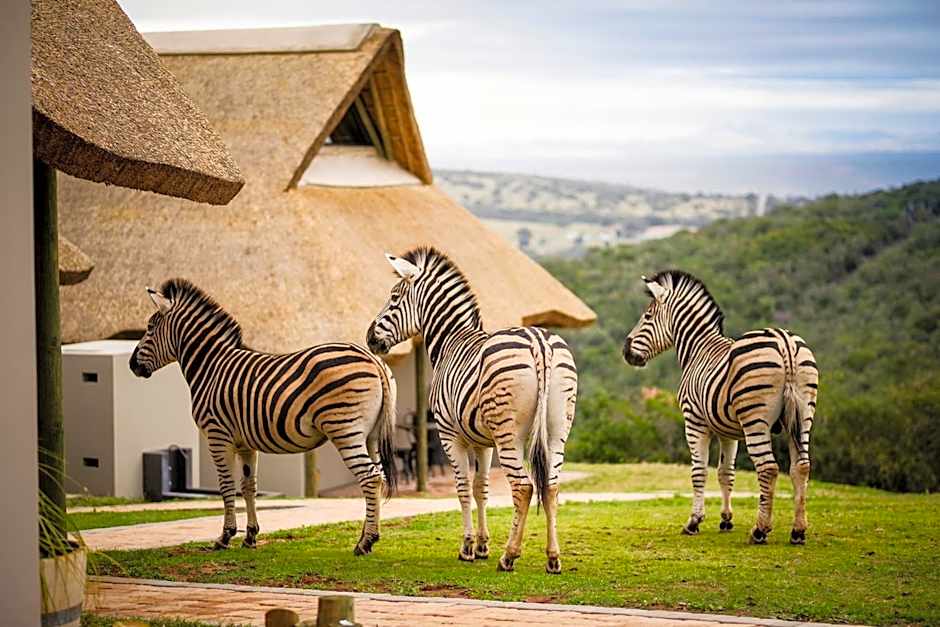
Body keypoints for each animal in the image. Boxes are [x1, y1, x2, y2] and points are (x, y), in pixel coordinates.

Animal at [128, 278, 397, 554]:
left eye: (149, 327)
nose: (131, 364)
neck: (211, 367)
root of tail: (373, 359)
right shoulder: (245, 444)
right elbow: (249, 487)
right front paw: (250, 536)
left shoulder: (217, 436)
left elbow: (226, 486)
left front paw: (225, 537)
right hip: (371, 435)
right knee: (379, 476)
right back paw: (370, 536)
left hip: (345, 430)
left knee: (369, 477)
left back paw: (365, 542)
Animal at [366, 247, 578, 574]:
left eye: (394, 297)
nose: (369, 338)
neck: (451, 341)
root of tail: (539, 342)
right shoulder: (483, 442)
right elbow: (482, 488)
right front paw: (482, 545)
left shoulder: (449, 435)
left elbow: (464, 487)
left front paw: (467, 547)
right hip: (557, 430)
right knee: (551, 487)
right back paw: (553, 558)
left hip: (509, 435)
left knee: (523, 488)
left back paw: (509, 556)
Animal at [622, 271, 817, 545]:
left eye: (647, 316)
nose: (626, 352)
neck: (697, 349)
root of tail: (785, 342)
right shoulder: (729, 432)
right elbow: (726, 473)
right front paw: (726, 520)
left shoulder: (694, 421)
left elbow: (699, 471)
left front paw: (694, 522)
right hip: (803, 416)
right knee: (801, 467)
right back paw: (798, 531)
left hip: (756, 420)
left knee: (768, 469)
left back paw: (760, 530)